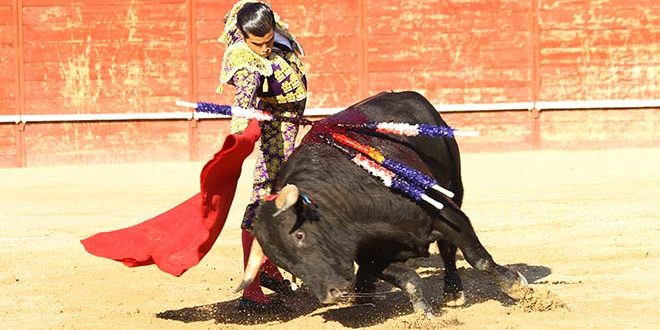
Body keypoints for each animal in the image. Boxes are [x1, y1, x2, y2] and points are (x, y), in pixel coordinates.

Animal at [242, 91, 524, 318]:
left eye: (300, 235)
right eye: (281, 261)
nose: (331, 294)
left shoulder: (447, 214)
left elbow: (478, 258)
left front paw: (514, 285)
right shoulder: (370, 257)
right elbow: (409, 280)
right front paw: (426, 315)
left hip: (455, 187)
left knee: (448, 249)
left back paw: (453, 291)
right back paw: (364, 289)